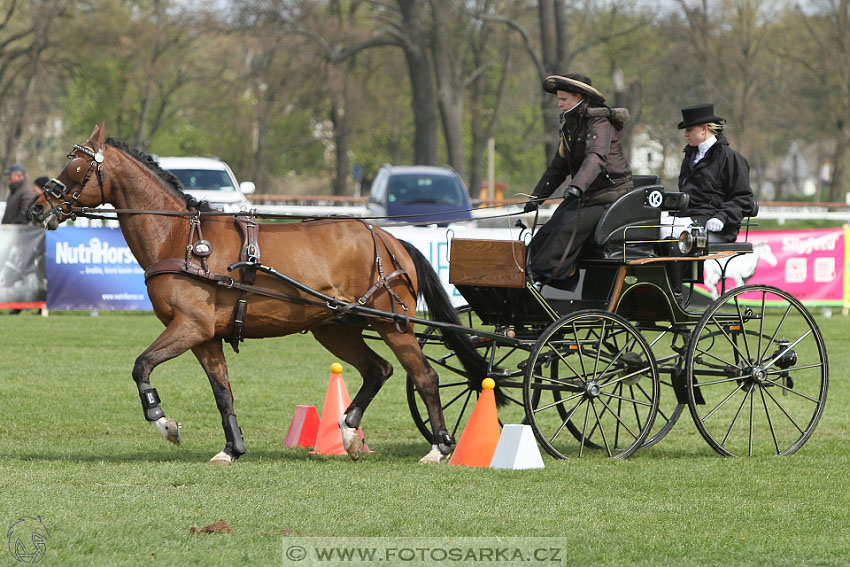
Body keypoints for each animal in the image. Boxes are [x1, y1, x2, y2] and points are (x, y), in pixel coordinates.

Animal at [31, 125, 484, 466]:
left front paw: (164, 422)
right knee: (378, 370)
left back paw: (440, 447)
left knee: (424, 376)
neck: (181, 238)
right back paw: (349, 432)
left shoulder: (189, 326)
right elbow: (222, 391)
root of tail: (388, 238)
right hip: (336, 327)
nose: (37, 207)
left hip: (392, 323)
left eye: (75, 166)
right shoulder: (205, 336)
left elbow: (142, 366)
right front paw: (232, 449)